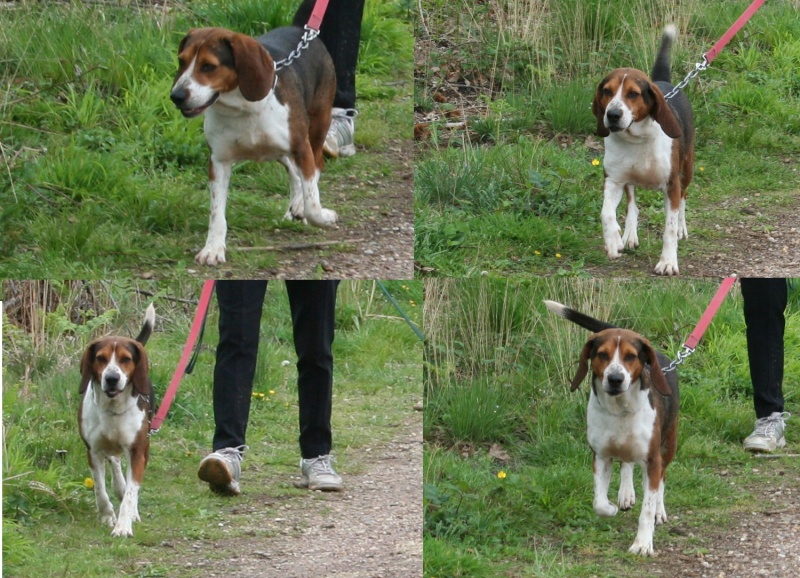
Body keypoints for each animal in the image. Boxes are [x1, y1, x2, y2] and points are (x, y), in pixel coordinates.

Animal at [79, 304, 156, 532]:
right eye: (100, 358)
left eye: (126, 359)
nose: (112, 378)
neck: (113, 409)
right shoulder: (93, 451)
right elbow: (100, 491)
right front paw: (107, 516)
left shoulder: (138, 450)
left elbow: (131, 493)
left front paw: (123, 526)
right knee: (114, 461)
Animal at [172, 17, 338, 266]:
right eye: (181, 61)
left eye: (208, 66)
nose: (176, 96)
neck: (243, 109)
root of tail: (305, 31)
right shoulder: (218, 161)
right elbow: (216, 213)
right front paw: (213, 248)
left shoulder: (301, 148)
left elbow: (312, 203)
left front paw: (323, 216)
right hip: (280, 152)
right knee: (293, 171)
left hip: (318, 126)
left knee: (317, 165)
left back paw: (299, 204)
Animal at [544, 300, 680, 552]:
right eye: (602, 354)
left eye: (631, 356)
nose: (615, 379)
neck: (620, 410)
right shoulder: (600, 456)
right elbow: (598, 502)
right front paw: (610, 508)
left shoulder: (652, 459)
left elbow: (647, 508)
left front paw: (643, 543)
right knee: (627, 464)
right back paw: (626, 494)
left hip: (668, 445)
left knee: (661, 479)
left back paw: (659, 510)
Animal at [592, 27, 696, 276]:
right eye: (607, 91)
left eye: (633, 94)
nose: (612, 115)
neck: (637, 140)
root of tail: (663, 82)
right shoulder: (613, 181)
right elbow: (606, 213)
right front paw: (613, 240)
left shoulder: (671, 184)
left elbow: (669, 228)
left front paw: (667, 262)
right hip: (629, 181)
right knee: (632, 206)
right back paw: (628, 235)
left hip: (687, 169)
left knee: (684, 198)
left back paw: (681, 227)